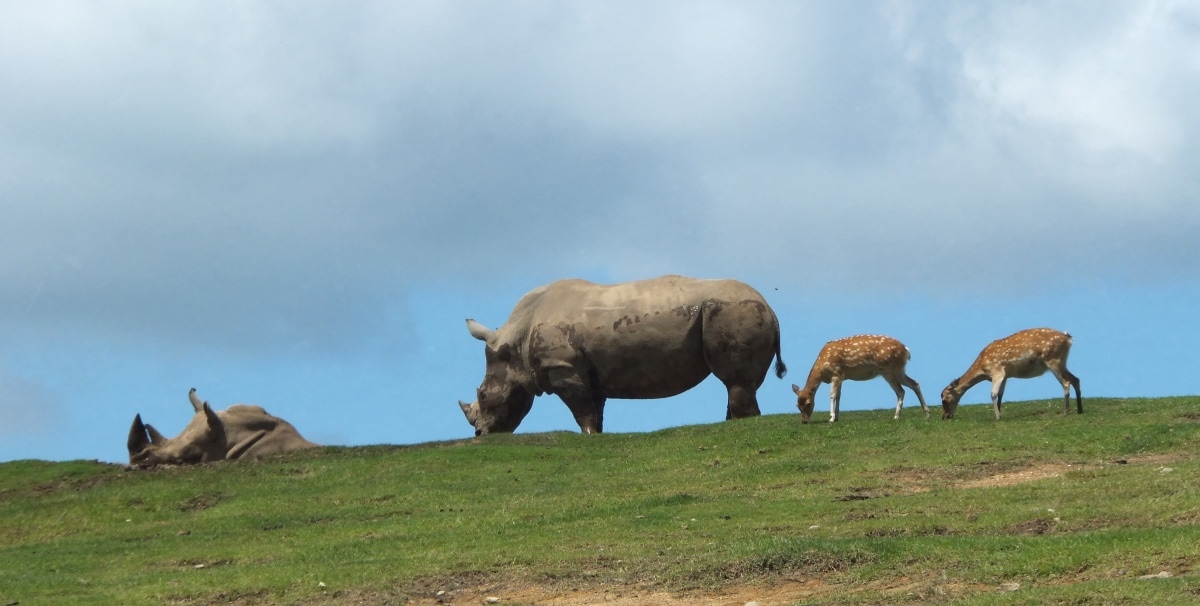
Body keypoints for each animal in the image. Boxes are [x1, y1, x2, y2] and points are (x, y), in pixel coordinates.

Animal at [792, 333, 931, 422]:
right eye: (797, 405)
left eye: (809, 403)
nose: (804, 421)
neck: (822, 369)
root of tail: (906, 350)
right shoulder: (842, 376)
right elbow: (839, 396)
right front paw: (836, 417)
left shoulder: (836, 373)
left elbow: (832, 395)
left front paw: (831, 417)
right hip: (899, 370)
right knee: (915, 383)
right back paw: (927, 412)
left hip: (888, 370)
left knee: (901, 391)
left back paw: (896, 416)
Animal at [940, 326, 1084, 420]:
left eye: (944, 399)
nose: (944, 416)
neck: (982, 370)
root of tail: (1069, 338)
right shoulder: (1005, 376)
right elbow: (1000, 395)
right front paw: (1000, 413)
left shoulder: (997, 371)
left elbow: (993, 394)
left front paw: (997, 417)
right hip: (1062, 361)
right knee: (1076, 379)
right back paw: (1080, 410)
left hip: (1052, 360)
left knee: (1066, 382)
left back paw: (1065, 412)